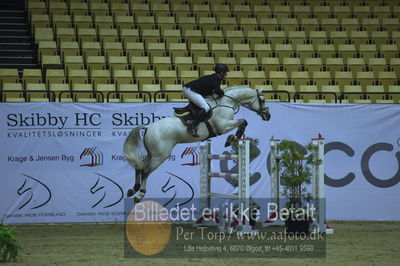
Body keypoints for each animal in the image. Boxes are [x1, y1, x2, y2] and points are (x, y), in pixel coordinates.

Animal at [123, 86, 270, 203]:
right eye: (262, 100)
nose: (268, 116)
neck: (226, 102)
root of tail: (148, 127)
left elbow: (243, 122)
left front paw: (232, 138)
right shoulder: (223, 126)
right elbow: (243, 121)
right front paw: (232, 138)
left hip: (151, 153)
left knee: (139, 166)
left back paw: (133, 189)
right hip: (160, 155)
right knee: (146, 171)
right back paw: (140, 194)